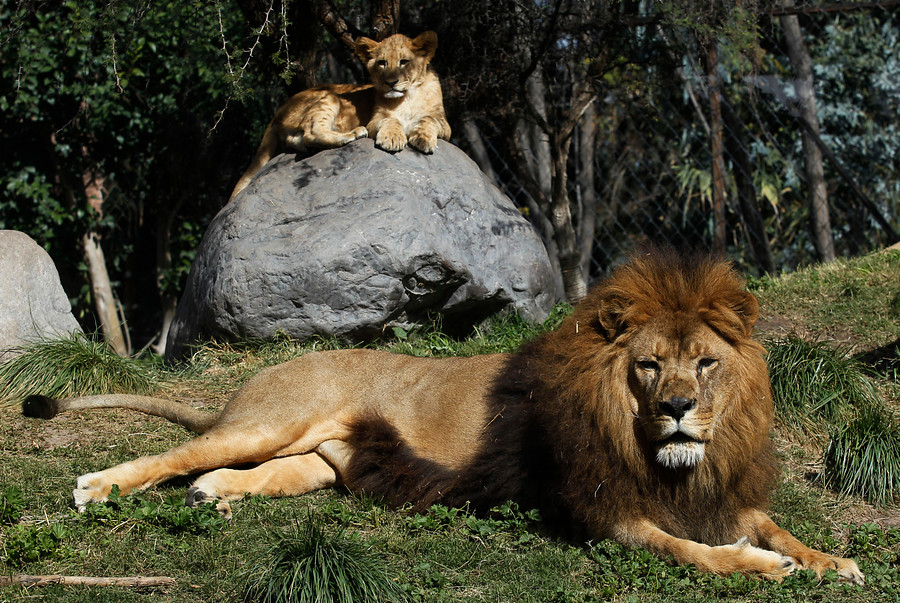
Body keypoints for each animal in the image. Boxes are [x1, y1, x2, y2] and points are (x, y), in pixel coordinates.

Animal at [22, 250, 863, 583]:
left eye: (707, 363)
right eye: (650, 365)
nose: (680, 409)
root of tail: (274, 367)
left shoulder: (724, 492)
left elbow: (777, 525)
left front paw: (833, 560)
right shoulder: (604, 512)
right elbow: (693, 550)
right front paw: (762, 566)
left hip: (312, 463)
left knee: (243, 472)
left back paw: (212, 497)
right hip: (271, 421)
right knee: (173, 456)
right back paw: (98, 486)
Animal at [229, 31, 451, 201]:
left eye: (404, 62)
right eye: (382, 63)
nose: (390, 82)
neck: (407, 96)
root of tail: (278, 111)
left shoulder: (445, 124)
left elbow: (428, 119)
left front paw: (422, 139)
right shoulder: (374, 120)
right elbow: (391, 119)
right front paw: (393, 138)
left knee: (298, 139)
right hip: (330, 96)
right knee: (312, 132)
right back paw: (352, 133)